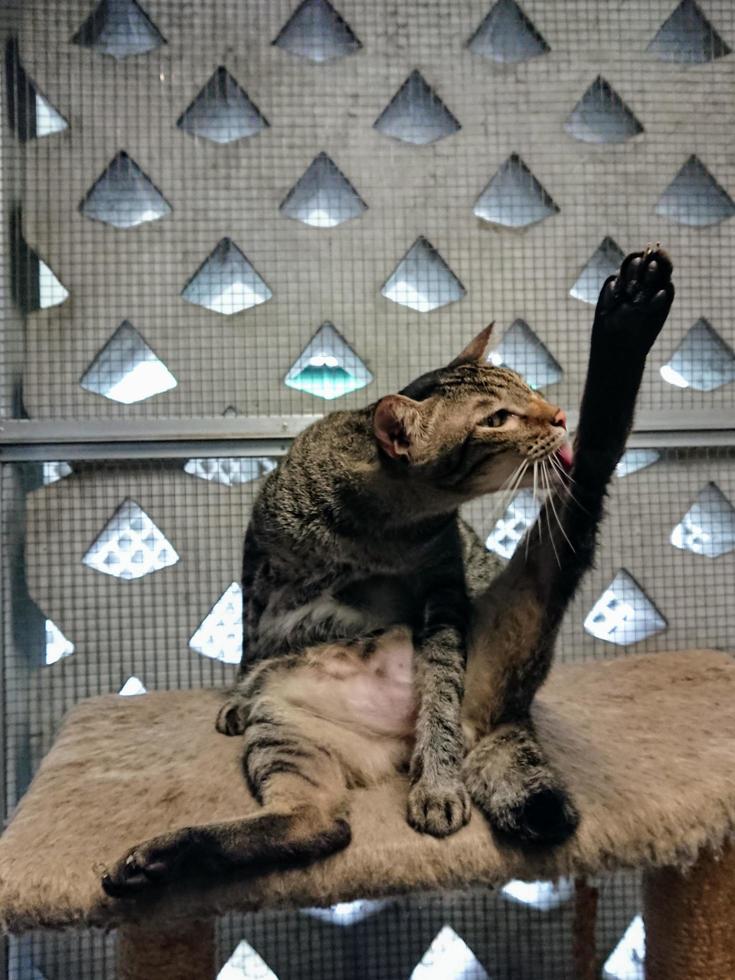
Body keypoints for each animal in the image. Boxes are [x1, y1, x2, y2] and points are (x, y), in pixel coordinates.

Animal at [102, 247, 672, 896]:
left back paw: (629, 313)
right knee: (318, 822)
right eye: (498, 418)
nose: (554, 415)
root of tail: (508, 714)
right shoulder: (258, 551)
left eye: (529, 388)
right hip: (284, 732)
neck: (375, 523)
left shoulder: (444, 584)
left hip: (538, 565)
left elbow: (441, 680)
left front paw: (439, 782)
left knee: (596, 460)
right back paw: (159, 859)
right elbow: (248, 632)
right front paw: (235, 691)